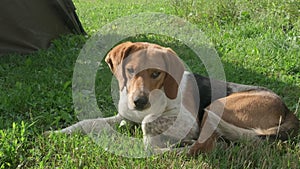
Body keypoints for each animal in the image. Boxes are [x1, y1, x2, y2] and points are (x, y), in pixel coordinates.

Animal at [52, 41, 300, 156]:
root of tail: (289, 112)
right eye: (130, 71)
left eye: (156, 74)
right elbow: (88, 122)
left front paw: (152, 141)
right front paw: (55, 133)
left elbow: (147, 125)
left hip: (215, 106)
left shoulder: (188, 121)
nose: (139, 102)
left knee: (203, 145)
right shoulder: (124, 116)